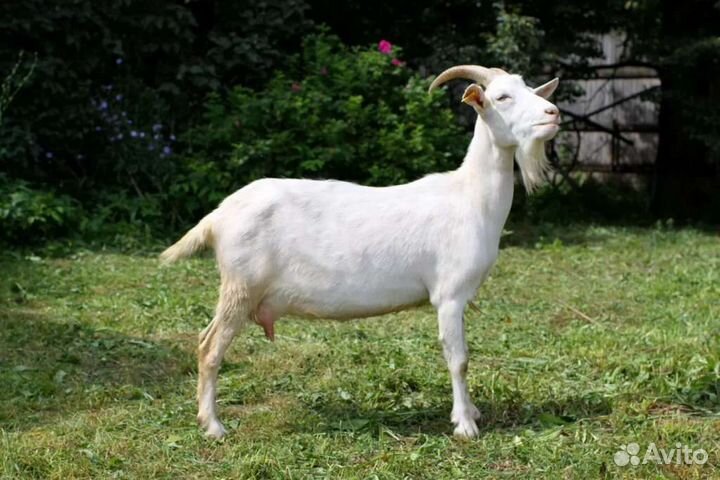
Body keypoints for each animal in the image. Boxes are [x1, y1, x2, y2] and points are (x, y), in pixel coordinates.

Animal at [161, 65, 561, 439]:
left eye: (531, 89)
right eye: (502, 97)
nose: (554, 112)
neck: (470, 197)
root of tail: (218, 216)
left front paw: (473, 412)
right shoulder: (449, 295)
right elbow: (458, 359)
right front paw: (465, 424)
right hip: (241, 286)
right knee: (210, 348)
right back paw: (213, 425)